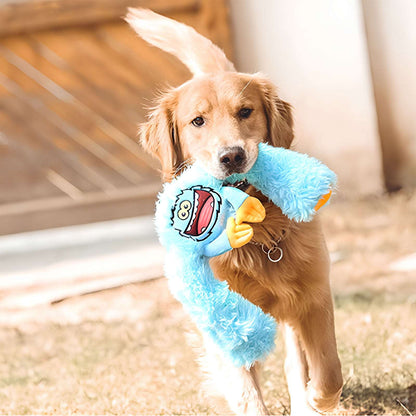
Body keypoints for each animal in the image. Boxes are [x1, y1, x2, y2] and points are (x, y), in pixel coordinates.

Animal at [126, 8, 342, 414]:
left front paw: (316, 399)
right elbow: (245, 391)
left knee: (297, 362)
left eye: (245, 112)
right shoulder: (224, 320)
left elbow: (327, 371)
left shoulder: (313, 295)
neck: (258, 236)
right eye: (197, 121)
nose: (232, 156)